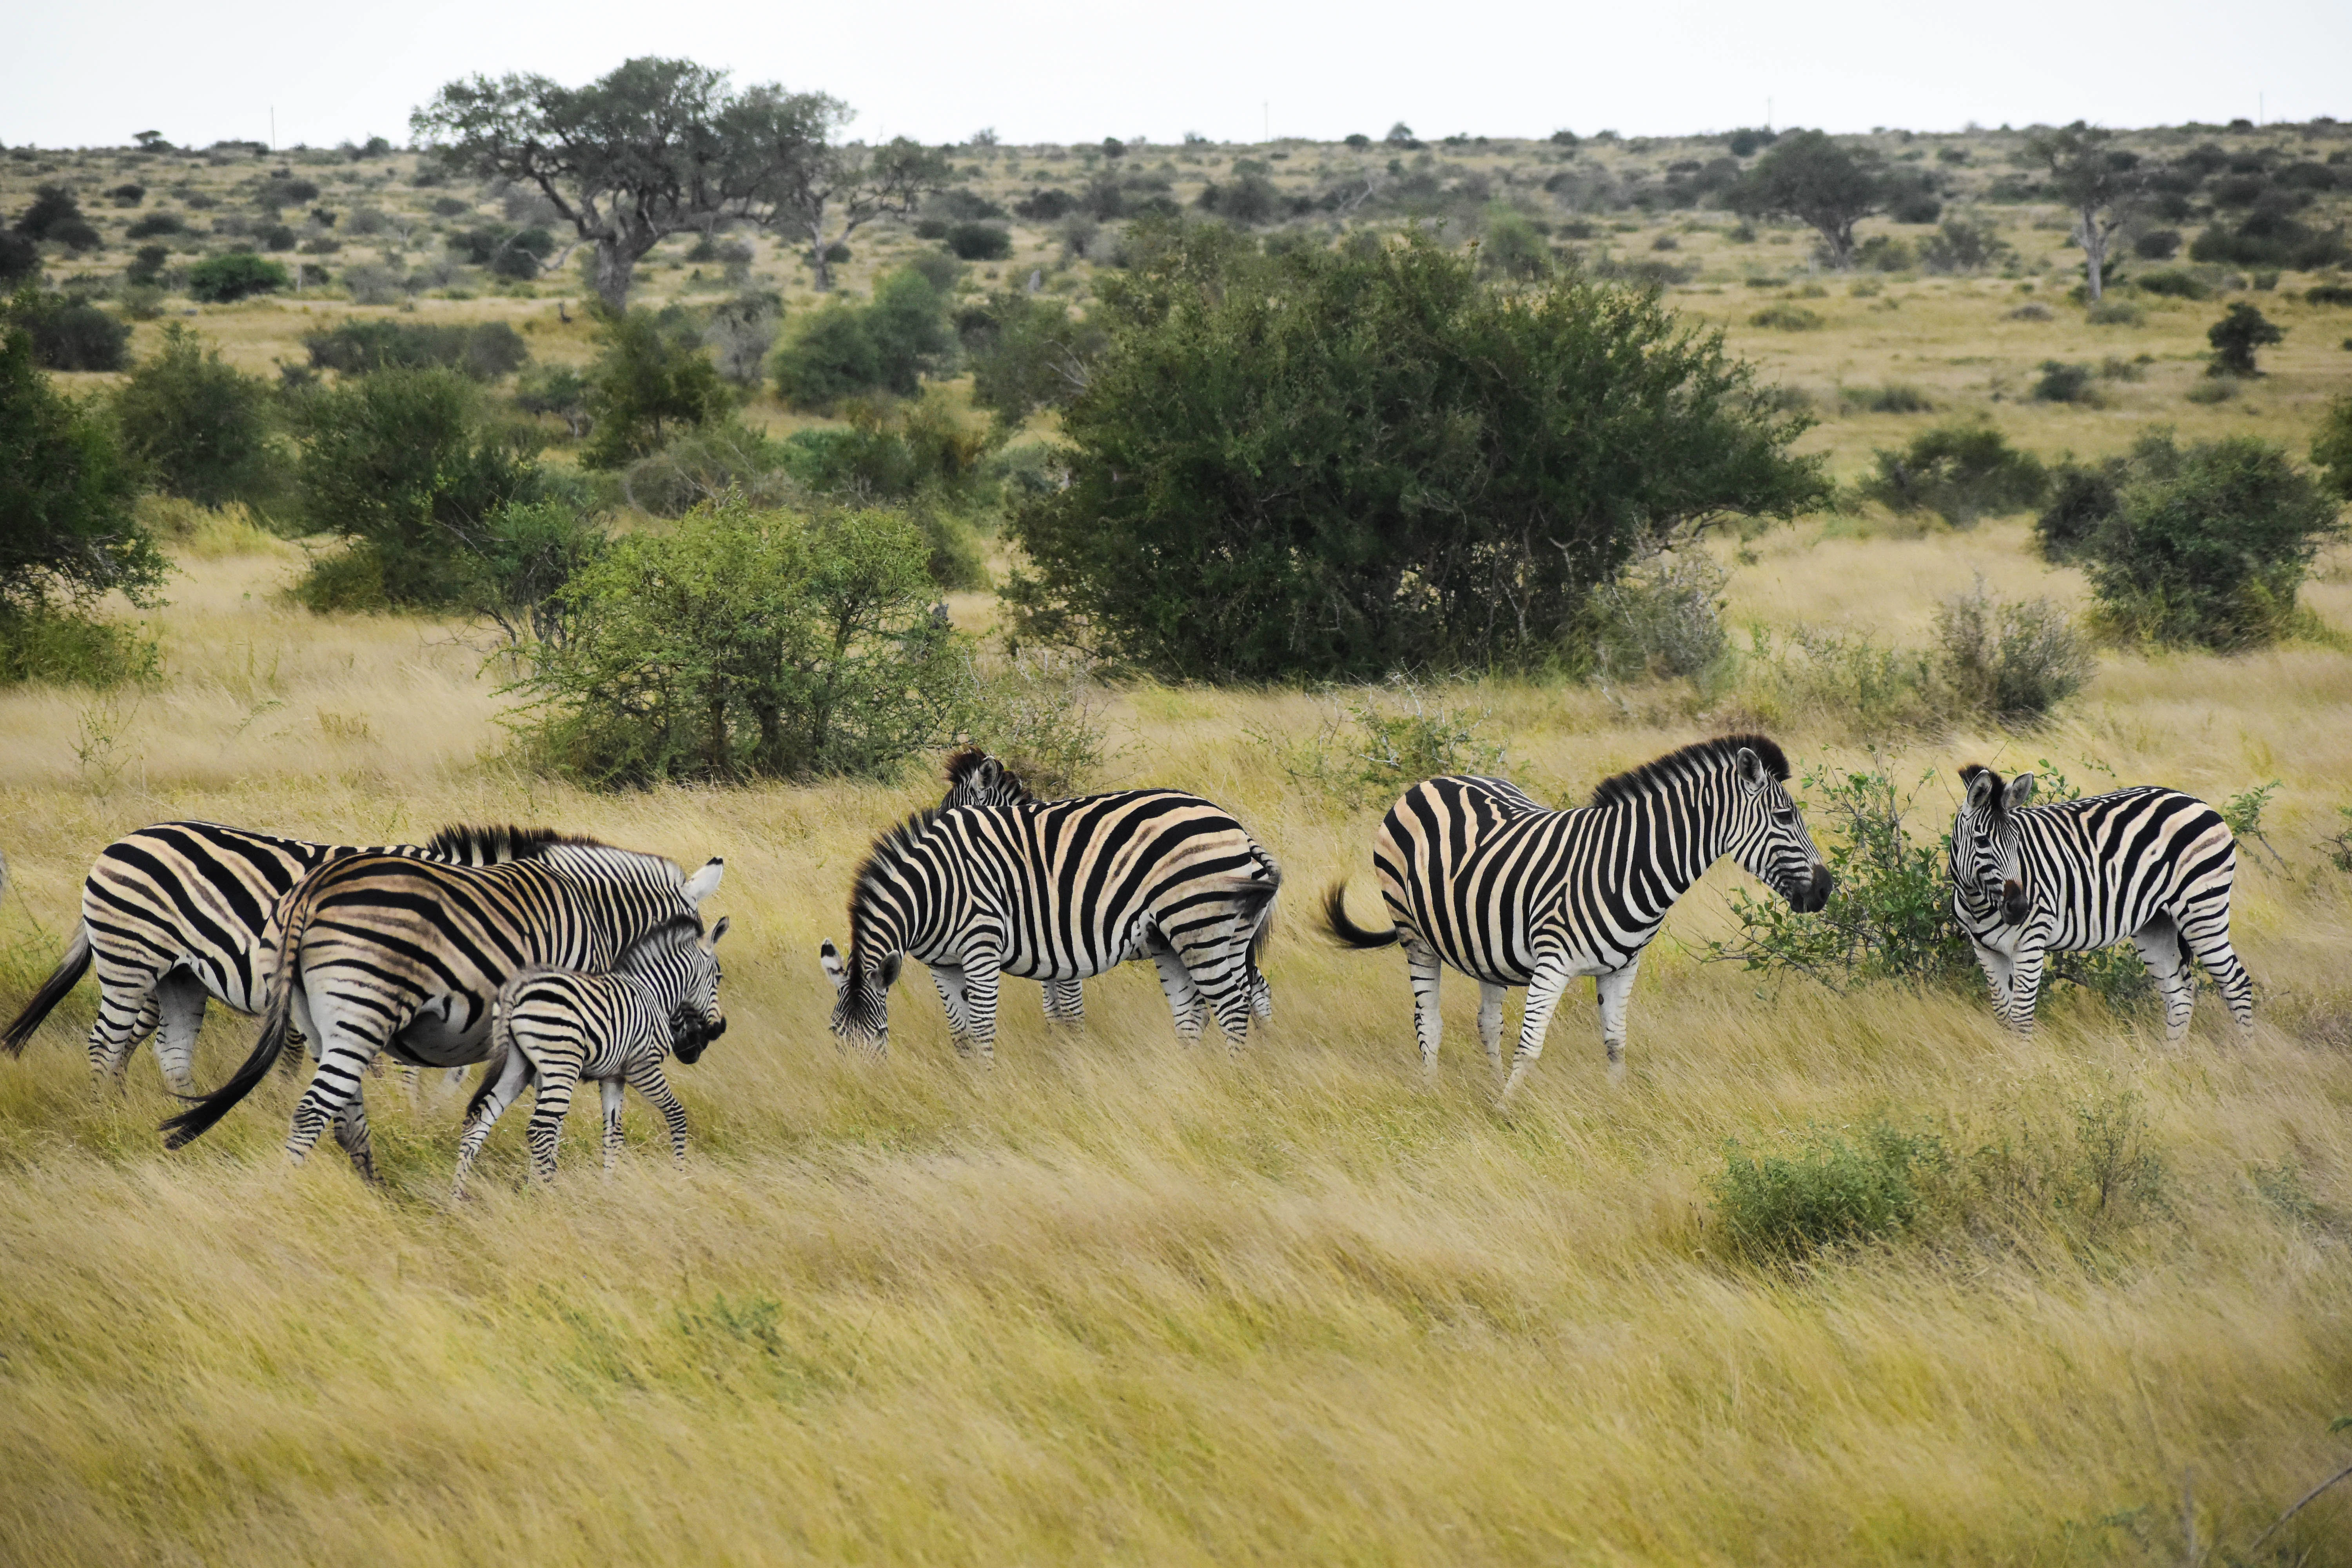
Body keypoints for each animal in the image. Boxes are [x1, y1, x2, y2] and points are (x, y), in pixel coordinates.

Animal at [2, 821, 518, 1095]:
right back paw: (107, 1110)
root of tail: (119, 843)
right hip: (130, 957)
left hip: (167, 972)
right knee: (108, 1041)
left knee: (140, 1042)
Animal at [450, 913, 731, 1196]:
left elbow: (613, 1134)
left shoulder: (614, 1077)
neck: (654, 993)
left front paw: (608, 1189)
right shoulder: (643, 1068)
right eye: (718, 977)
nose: (720, 1029)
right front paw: (680, 1175)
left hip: (517, 1066)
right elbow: (677, 1115)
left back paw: (456, 1198)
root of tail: (517, 989)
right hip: (562, 1065)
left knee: (479, 1122)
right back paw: (548, 1194)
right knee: (541, 1129)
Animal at [819, 787, 1281, 1058]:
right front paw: (968, 1088)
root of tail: (1235, 825)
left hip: (1199, 924)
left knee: (1231, 1006)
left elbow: (984, 1028)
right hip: (1185, 937)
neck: (935, 888)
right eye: (835, 1036)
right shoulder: (942, 965)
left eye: (881, 1034)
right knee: (1197, 1011)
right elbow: (961, 1032)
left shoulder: (982, 949)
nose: (862, 1095)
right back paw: (1189, 1080)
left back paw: (1228, 1083)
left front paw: (986, 1091)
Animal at [1319, 735, 1832, 1097]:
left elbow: (1616, 1043)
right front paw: (1506, 1113)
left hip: (1485, 945)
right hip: (1414, 934)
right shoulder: (1553, 962)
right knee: (1428, 1021)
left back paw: (1488, 1085)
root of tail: (1431, 780)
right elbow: (1531, 1046)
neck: (1628, 865)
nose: (1826, 889)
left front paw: (1616, 1107)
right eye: (1784, 817)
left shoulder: (1624, 967)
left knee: (1487, 1023)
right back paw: (1432, 1092)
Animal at [1949, 766, 2254, 1043]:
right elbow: (2003, 1016)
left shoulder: (2030, 943)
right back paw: (2171, 1060)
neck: (1978, 904)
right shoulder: (1986, 950)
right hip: (2157, 924)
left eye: (2018, 842)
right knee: (2180, 993)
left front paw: (2024, 1064)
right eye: (1982, 841)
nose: (2020, 907)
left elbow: (2021, 1018)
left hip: (2203, 909)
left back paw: (2245, 1056)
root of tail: (2197, 802)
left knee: (2237, 985)